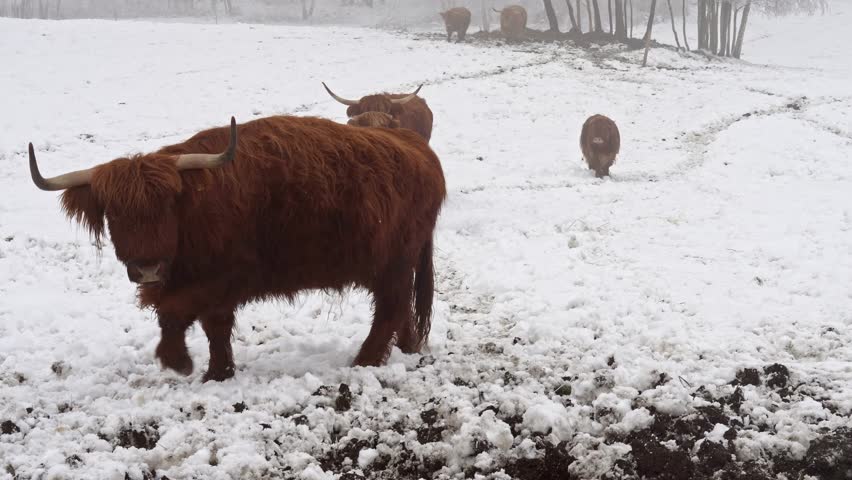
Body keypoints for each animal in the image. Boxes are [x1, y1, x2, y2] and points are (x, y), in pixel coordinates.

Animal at [27, 115, 446, 382]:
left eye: (167, 204)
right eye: (114, 212)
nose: (146, 268)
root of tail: (419, 150)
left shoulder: (229, 277)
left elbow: (174, 312)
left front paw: (179, 362)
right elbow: (214, 326)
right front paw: (218, 372)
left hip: (393, 262)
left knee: (391, 308)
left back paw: (364, 361)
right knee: (402, 308)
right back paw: (406, 349)